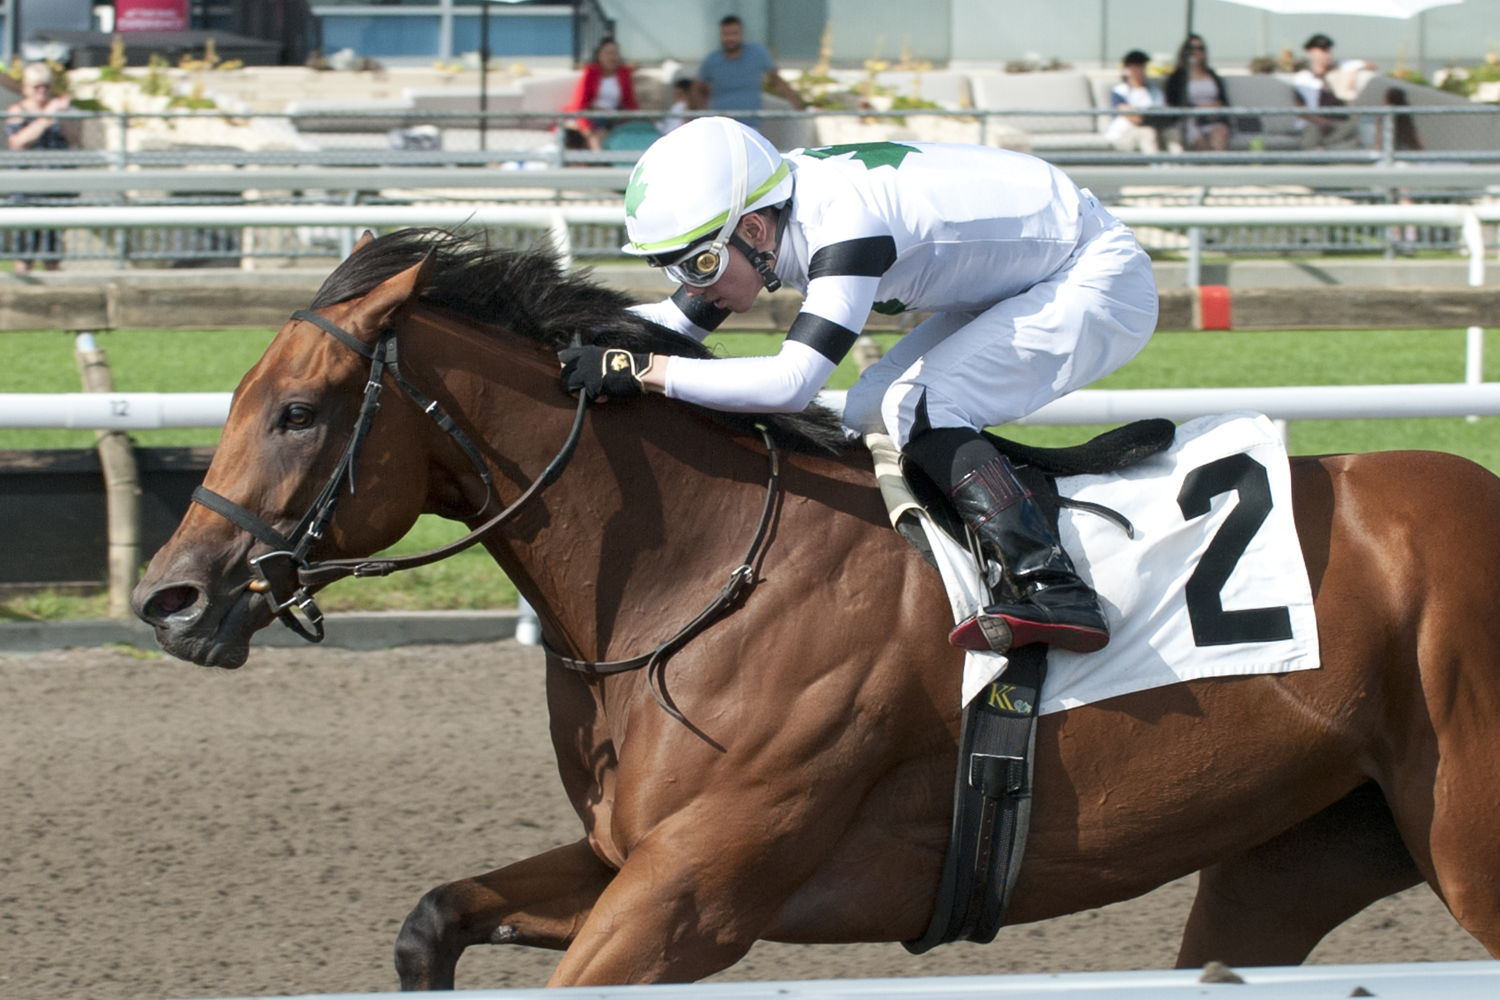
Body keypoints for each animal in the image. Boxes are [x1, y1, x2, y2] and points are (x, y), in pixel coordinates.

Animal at [132, 230, 1500, 989]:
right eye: (238, 398)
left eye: (298, 410)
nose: (168, 596)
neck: (694, 575)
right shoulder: (629, 855)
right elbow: (431, 920)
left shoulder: (699, 892)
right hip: (1294, 857)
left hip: (1464, 845)